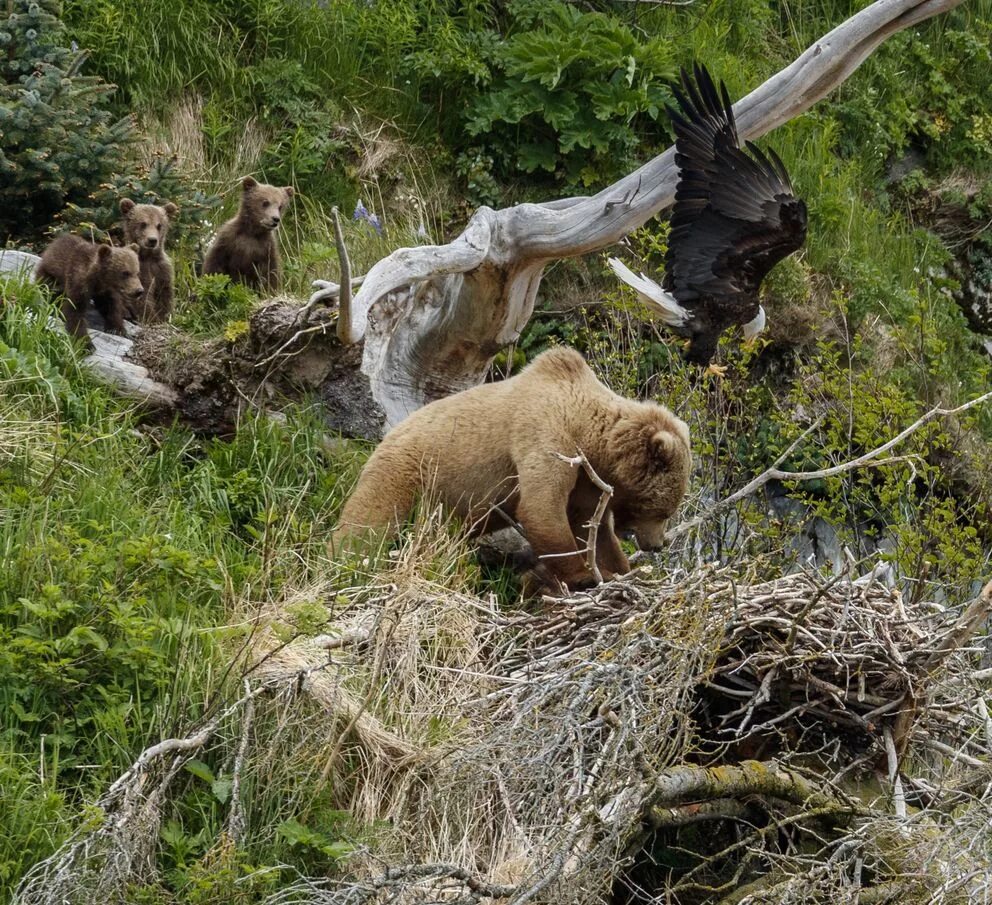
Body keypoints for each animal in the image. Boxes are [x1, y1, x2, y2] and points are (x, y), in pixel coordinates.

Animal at [334, 342, 688, 588]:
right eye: (663, 511)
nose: (658, 544)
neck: (587, 430)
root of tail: (382, 440)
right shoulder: (545, 434)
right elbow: (542, 508)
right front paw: (583, 576)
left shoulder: (587, 476)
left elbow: (589, 524)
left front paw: (620, 569)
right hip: (405, 474)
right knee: (365, 526)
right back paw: (343, 562)